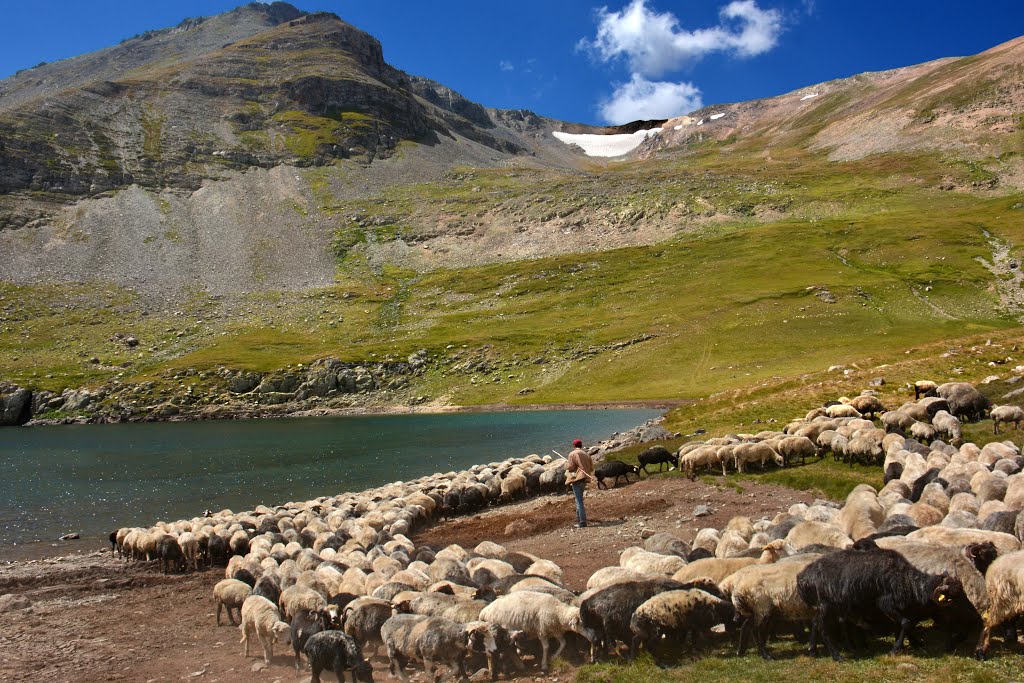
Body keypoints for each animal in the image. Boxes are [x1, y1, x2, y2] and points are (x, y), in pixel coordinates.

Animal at [798, 540, 966, 659]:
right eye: (952, 596)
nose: (965, 612)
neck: (909, 582)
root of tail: (804, 577)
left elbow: (904, 625)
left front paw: (915, 642)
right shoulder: (885, 603)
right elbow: (905, 623)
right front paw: (895, 649)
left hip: (824, 605)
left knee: (815, 622)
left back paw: (813, 651)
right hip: (827, 604)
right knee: (822, 627)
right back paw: (836, 655)